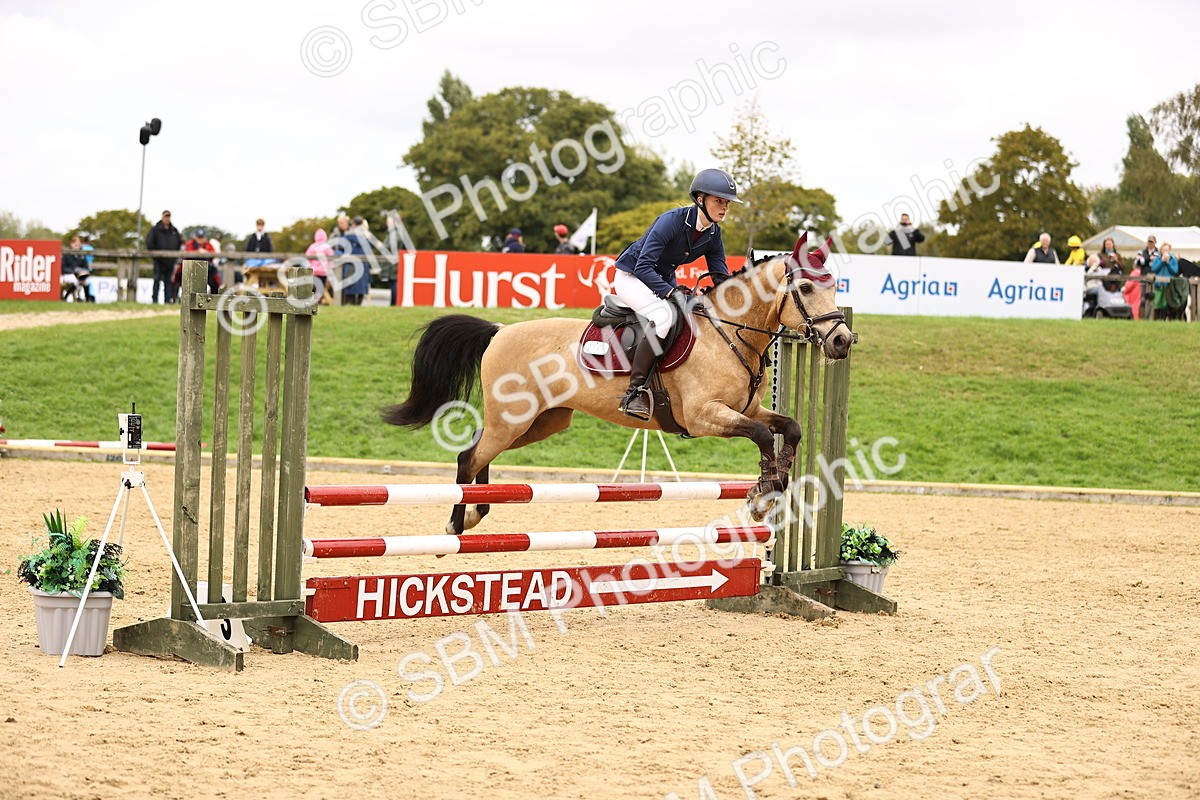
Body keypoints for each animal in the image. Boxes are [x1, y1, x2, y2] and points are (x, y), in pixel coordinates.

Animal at [383, 233, 855, 535]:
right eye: (807, 288)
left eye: (836, 286)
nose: (842, 341)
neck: (728, 333)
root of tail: (500, 331)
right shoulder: (704, 416)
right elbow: (759, 434)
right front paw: (764, 495)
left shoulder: (747, 408)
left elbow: (789, 426)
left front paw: (777, 479)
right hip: (513, 420)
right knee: (470, 455)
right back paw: (456, 522)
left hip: (541, 422)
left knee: (481, 449)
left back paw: (478, 511)